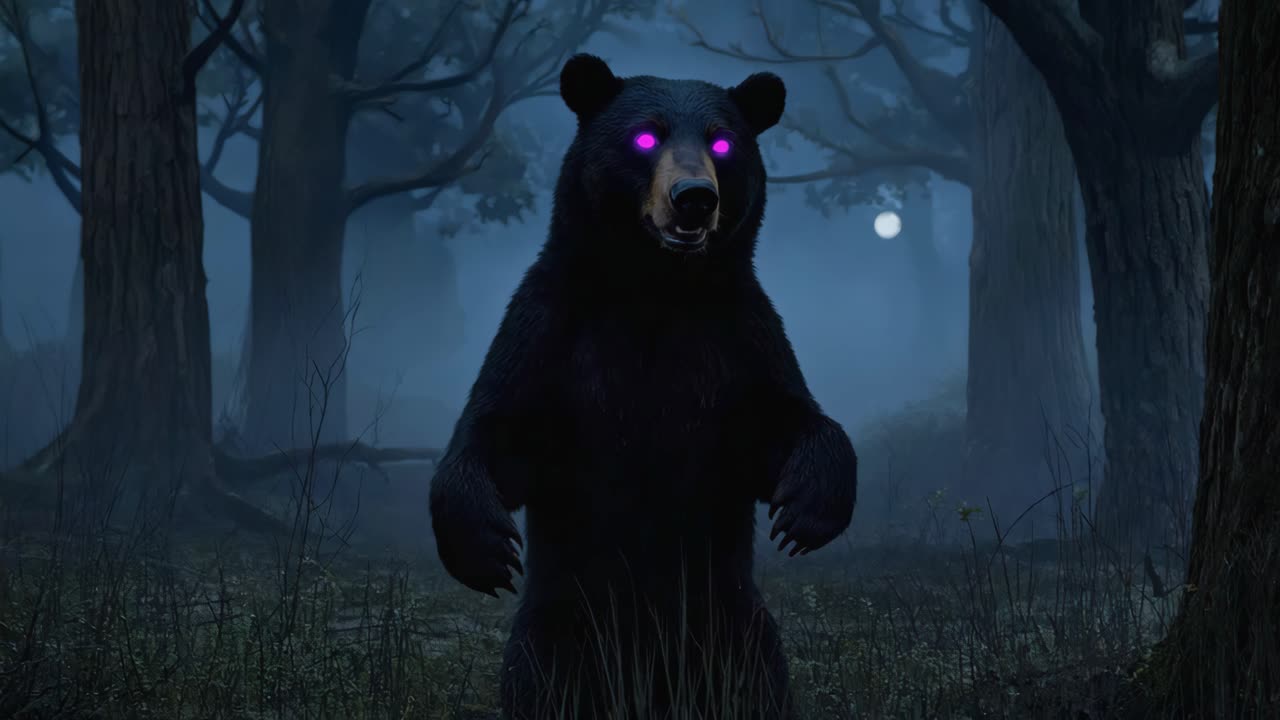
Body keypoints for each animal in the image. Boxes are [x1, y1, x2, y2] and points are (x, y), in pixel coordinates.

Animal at [428, 54, 858, 720]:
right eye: (645, 138)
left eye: (722, 141)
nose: (694, 198)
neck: (657, 288)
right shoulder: (551, 328)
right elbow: (500, 427)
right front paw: (486, 548)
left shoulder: (738, 336)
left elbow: (783, 419)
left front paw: (805, 512)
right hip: (557, 635)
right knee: (543, 685)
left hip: (737, 633)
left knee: (757, 686)